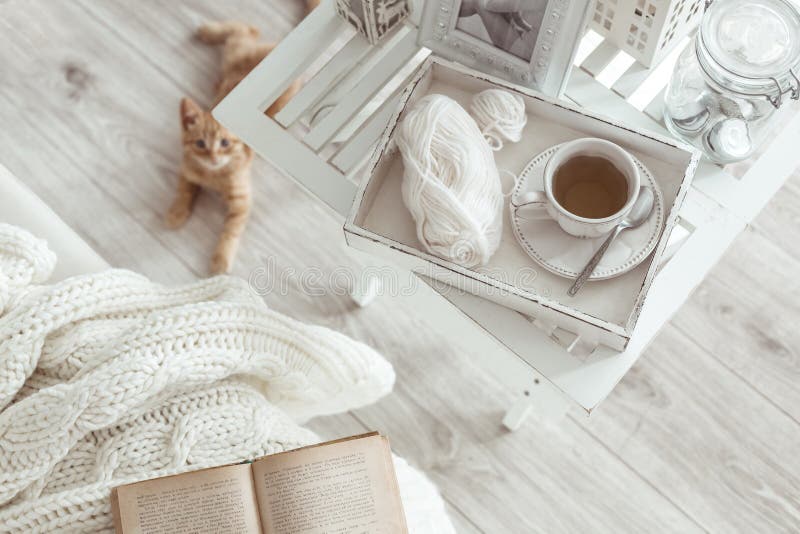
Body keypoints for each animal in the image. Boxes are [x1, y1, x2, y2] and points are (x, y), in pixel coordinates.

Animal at [166, 21, 300, 274]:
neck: (212, 175)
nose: (213, 157)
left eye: (225, 143)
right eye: (200, 144)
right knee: (245, 29)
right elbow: (183, 191)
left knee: (248, 28)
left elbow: (231, 230)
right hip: (233, 54)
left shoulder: (242, 200)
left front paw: (220, 258)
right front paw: (176, 213)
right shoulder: (186, 170)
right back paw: (208, 32)